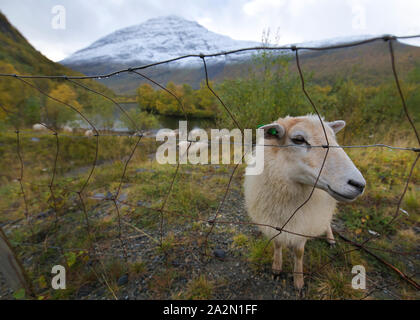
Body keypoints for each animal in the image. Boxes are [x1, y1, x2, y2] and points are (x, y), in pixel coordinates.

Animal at [244, 115, 366, 290]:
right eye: (298, 139)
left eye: (333, 138)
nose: (359, 185)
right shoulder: (274, 222)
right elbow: (277, 244)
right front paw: (276, 268)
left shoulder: (304, 224)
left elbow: (299, 253)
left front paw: (298, 280)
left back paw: (330, 238)